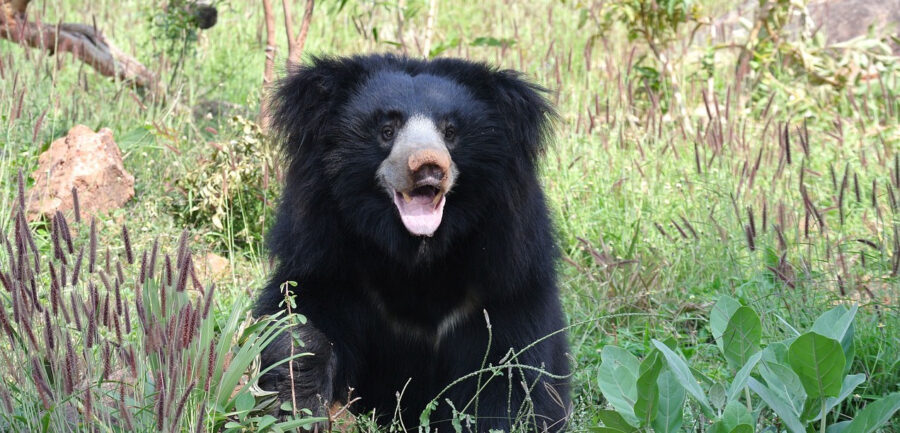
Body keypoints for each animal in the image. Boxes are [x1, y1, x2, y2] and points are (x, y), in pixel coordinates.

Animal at [255, 54, 571, 432]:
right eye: (387, 131)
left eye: (450, 132)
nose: (428, 166)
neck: (416, 253)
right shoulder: (326, 254)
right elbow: (299, 319)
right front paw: (299, 400)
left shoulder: (508, 271)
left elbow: (513, 366)